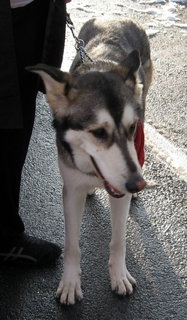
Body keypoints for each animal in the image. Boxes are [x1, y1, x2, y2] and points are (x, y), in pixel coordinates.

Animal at [28, 18, 153, 304]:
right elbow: (72, 245)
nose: (138, 184)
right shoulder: (71, 189)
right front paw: (70, 282)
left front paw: (119, 275)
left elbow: (119, 240)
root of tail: (116, 19)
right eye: (98, 132)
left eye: (132, 128)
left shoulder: (122, 189)